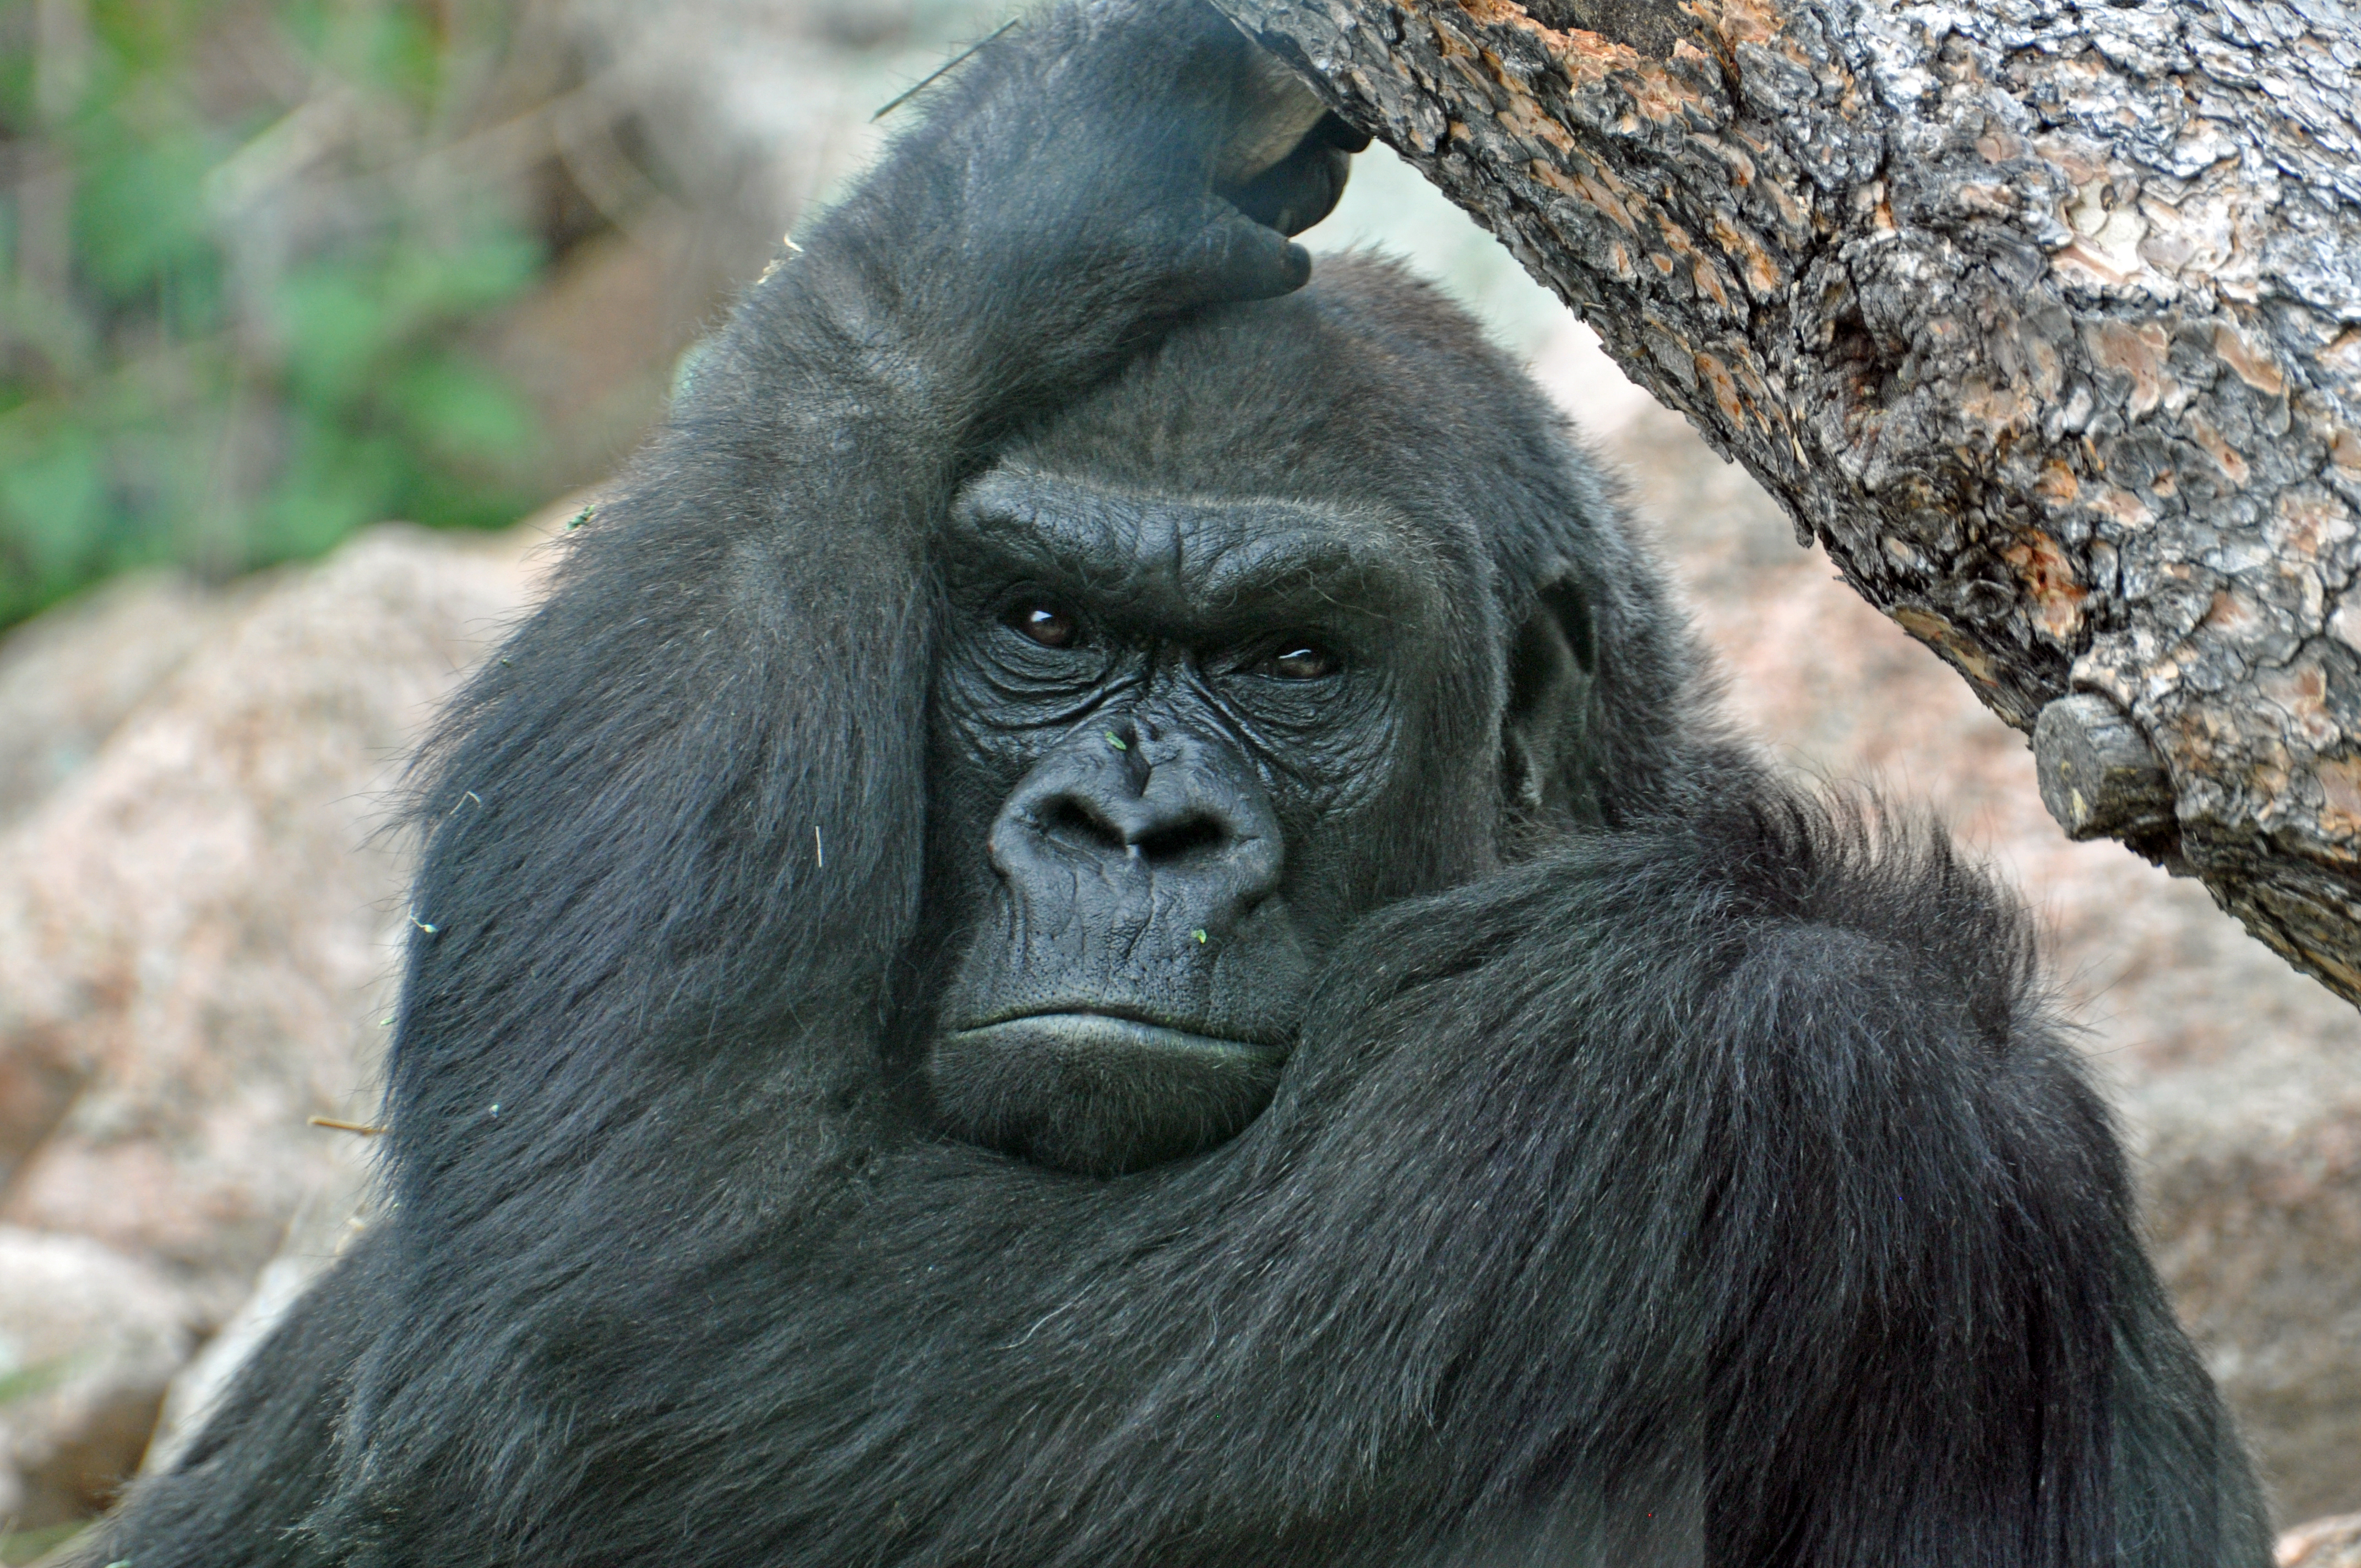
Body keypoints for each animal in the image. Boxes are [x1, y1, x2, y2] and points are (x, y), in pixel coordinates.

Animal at [87, 3, 2266, 1567]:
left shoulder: (1696, 1059)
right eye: (1044, 620)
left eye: (1290, 662)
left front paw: (979, 213)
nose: (1131, 830)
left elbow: (619, 1321)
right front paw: (1020, 202)